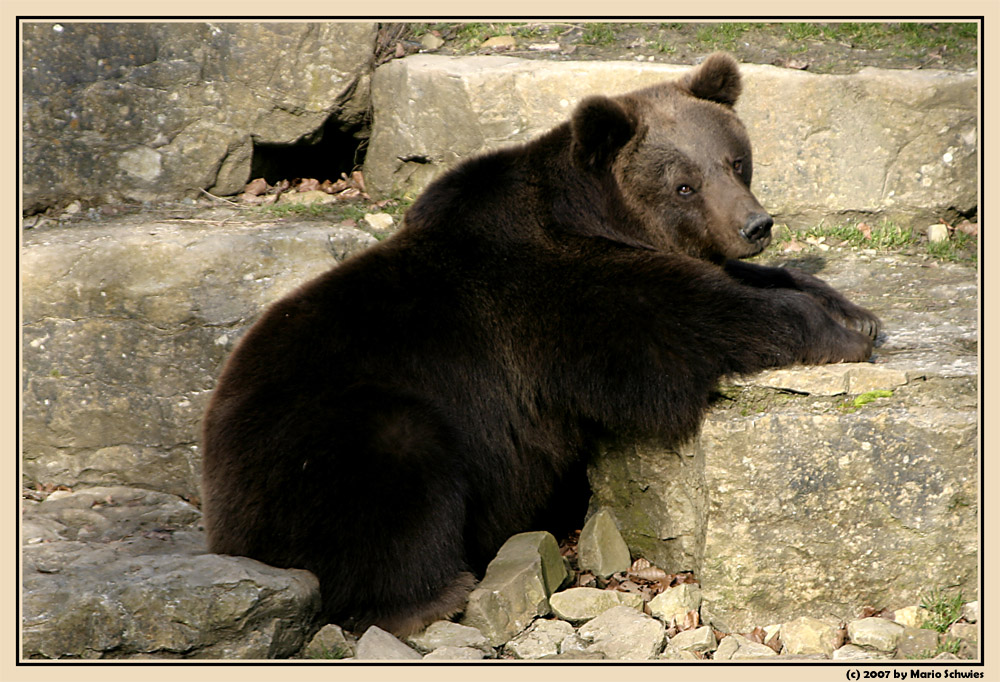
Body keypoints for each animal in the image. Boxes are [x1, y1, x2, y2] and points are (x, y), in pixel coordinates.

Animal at [201, 51, 876, 632]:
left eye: (736, 161)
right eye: (683, 184)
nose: (755, 225)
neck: (597, 214)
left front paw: (851, 310)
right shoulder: (558, 298)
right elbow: (685, 319)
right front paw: (836, 332)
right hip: (334, 440)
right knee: (394, 486)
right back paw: (434, 595)